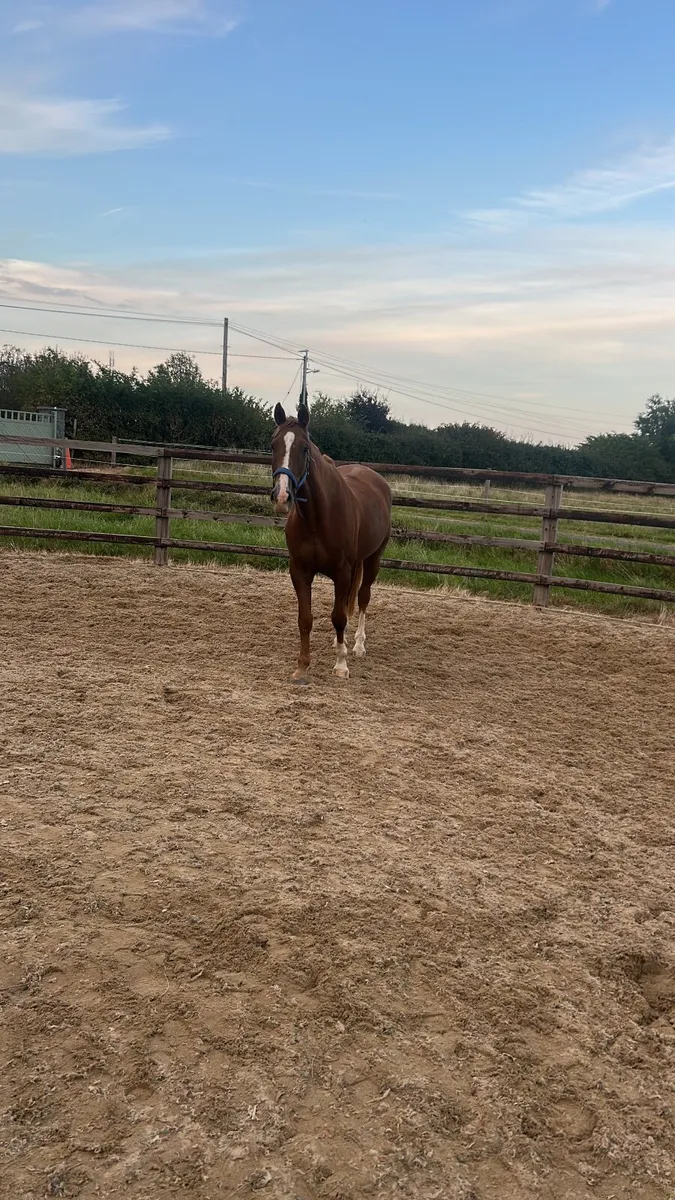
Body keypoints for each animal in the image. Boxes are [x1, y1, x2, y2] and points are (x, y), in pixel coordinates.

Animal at [270, 399, 392, 682]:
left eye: (304, 448)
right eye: (273, 445)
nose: (282, 497)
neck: (317, 518)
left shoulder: (341, 573)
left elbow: (338, 617)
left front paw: (341, 665)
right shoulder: (299, 571)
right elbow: (305, 619)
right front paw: (302, 666)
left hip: (373, 559)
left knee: (363, 598)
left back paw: (357, 645)